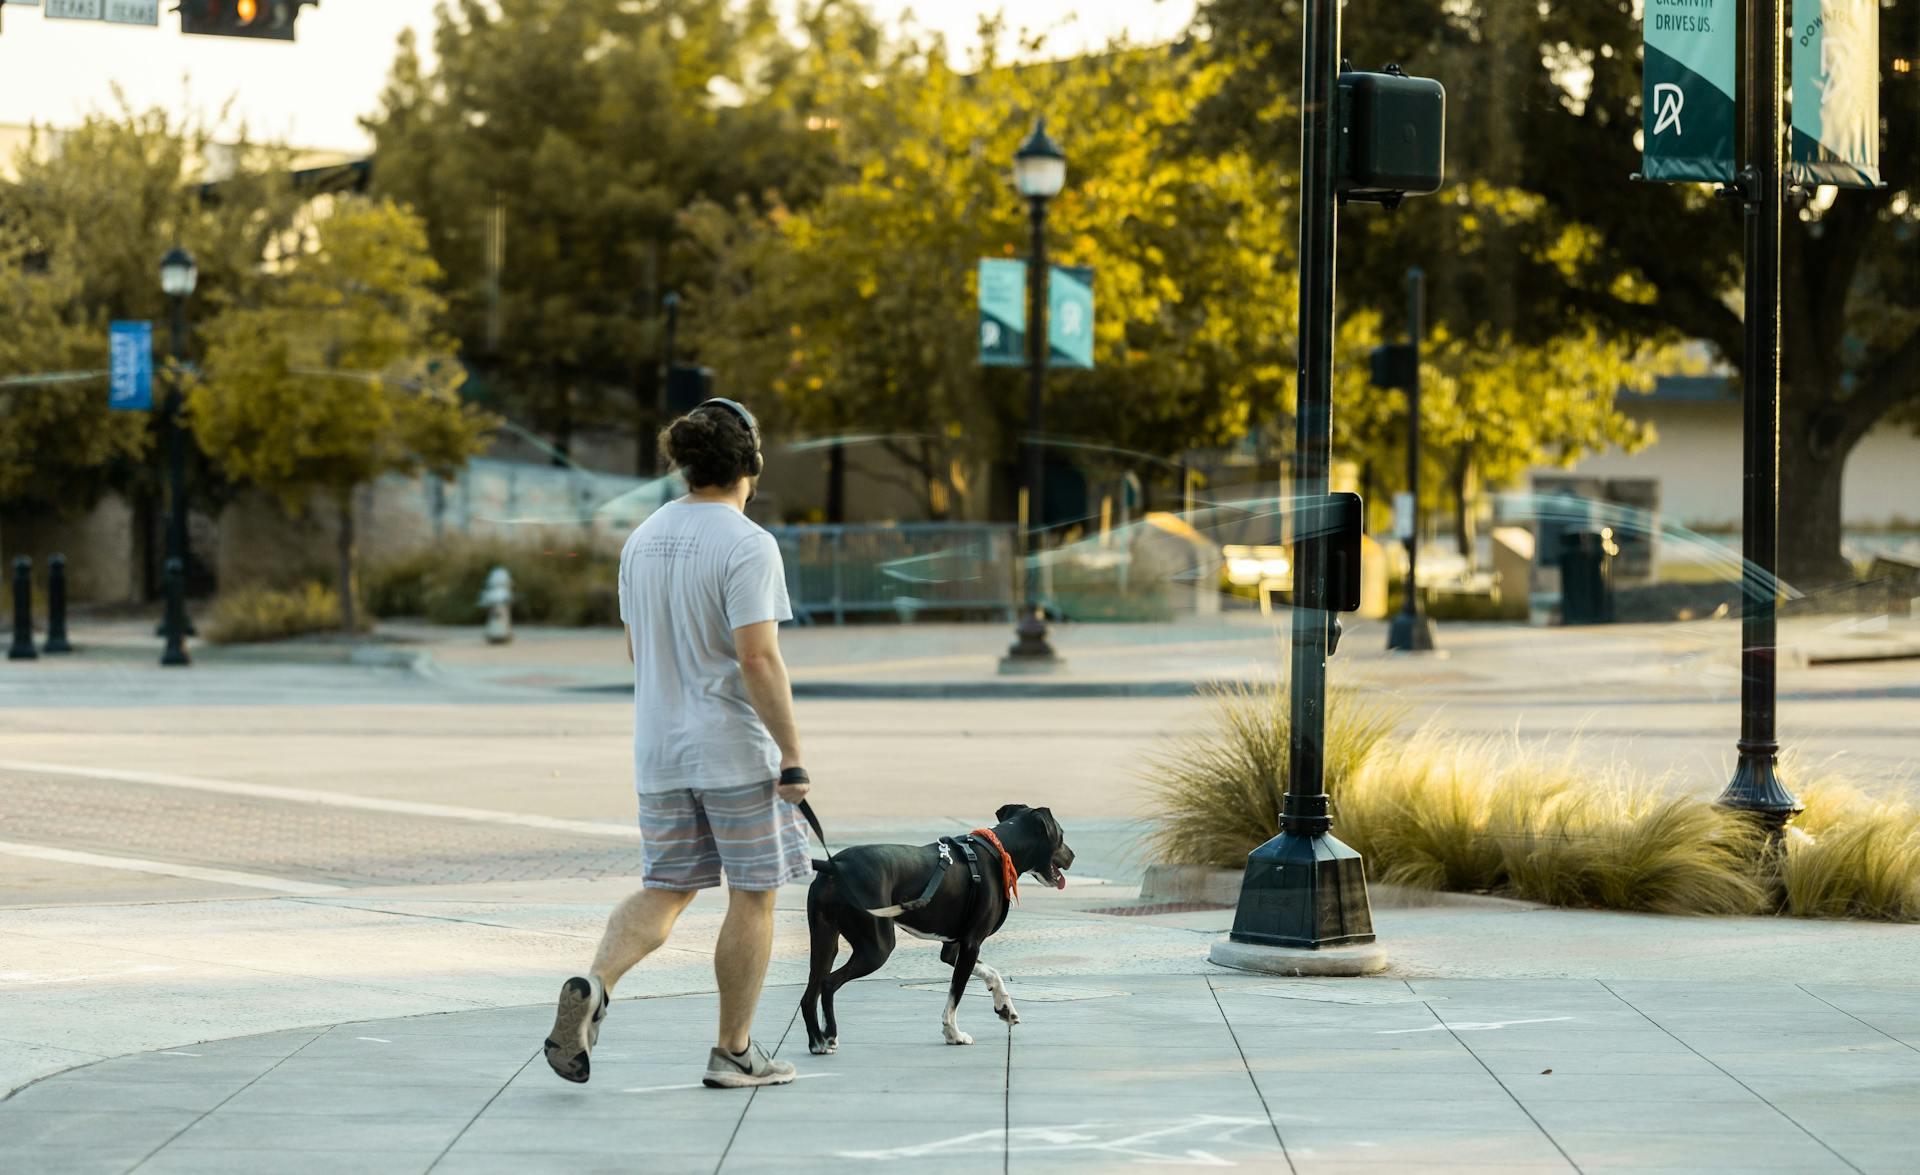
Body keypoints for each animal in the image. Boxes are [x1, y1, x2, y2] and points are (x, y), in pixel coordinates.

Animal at [794, 802, 1067, 1052]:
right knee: (828, 984)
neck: (998, 851)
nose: (1072, 856)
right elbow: (954, 997)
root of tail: (836, 866)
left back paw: (817, 1041)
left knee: (809, 996)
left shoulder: (954, 948)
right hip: (876, 949)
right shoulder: (971, 945)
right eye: (1062, 835)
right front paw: (953, 1034)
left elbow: (991, 972)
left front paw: (1005, 1007)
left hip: (825, 941)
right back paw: (830, 1035)